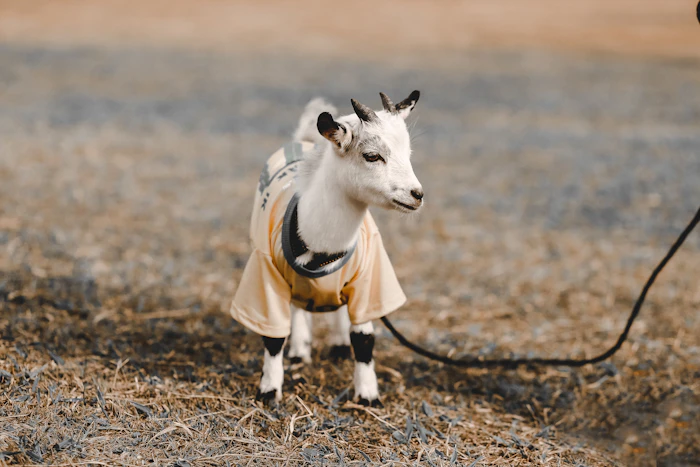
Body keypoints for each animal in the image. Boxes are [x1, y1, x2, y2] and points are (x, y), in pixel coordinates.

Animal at [230, 91, 422, 406]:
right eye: (372, 155)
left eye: (408, 154)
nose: (417, 195)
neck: (321, 243)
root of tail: (306, 138)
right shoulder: (265, 274)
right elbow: (273, 337)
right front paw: (269, 391)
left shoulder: (370, 278)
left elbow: (364, 338)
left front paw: (368, 396)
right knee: (298, 306)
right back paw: (299, 351)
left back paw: (339, 345)